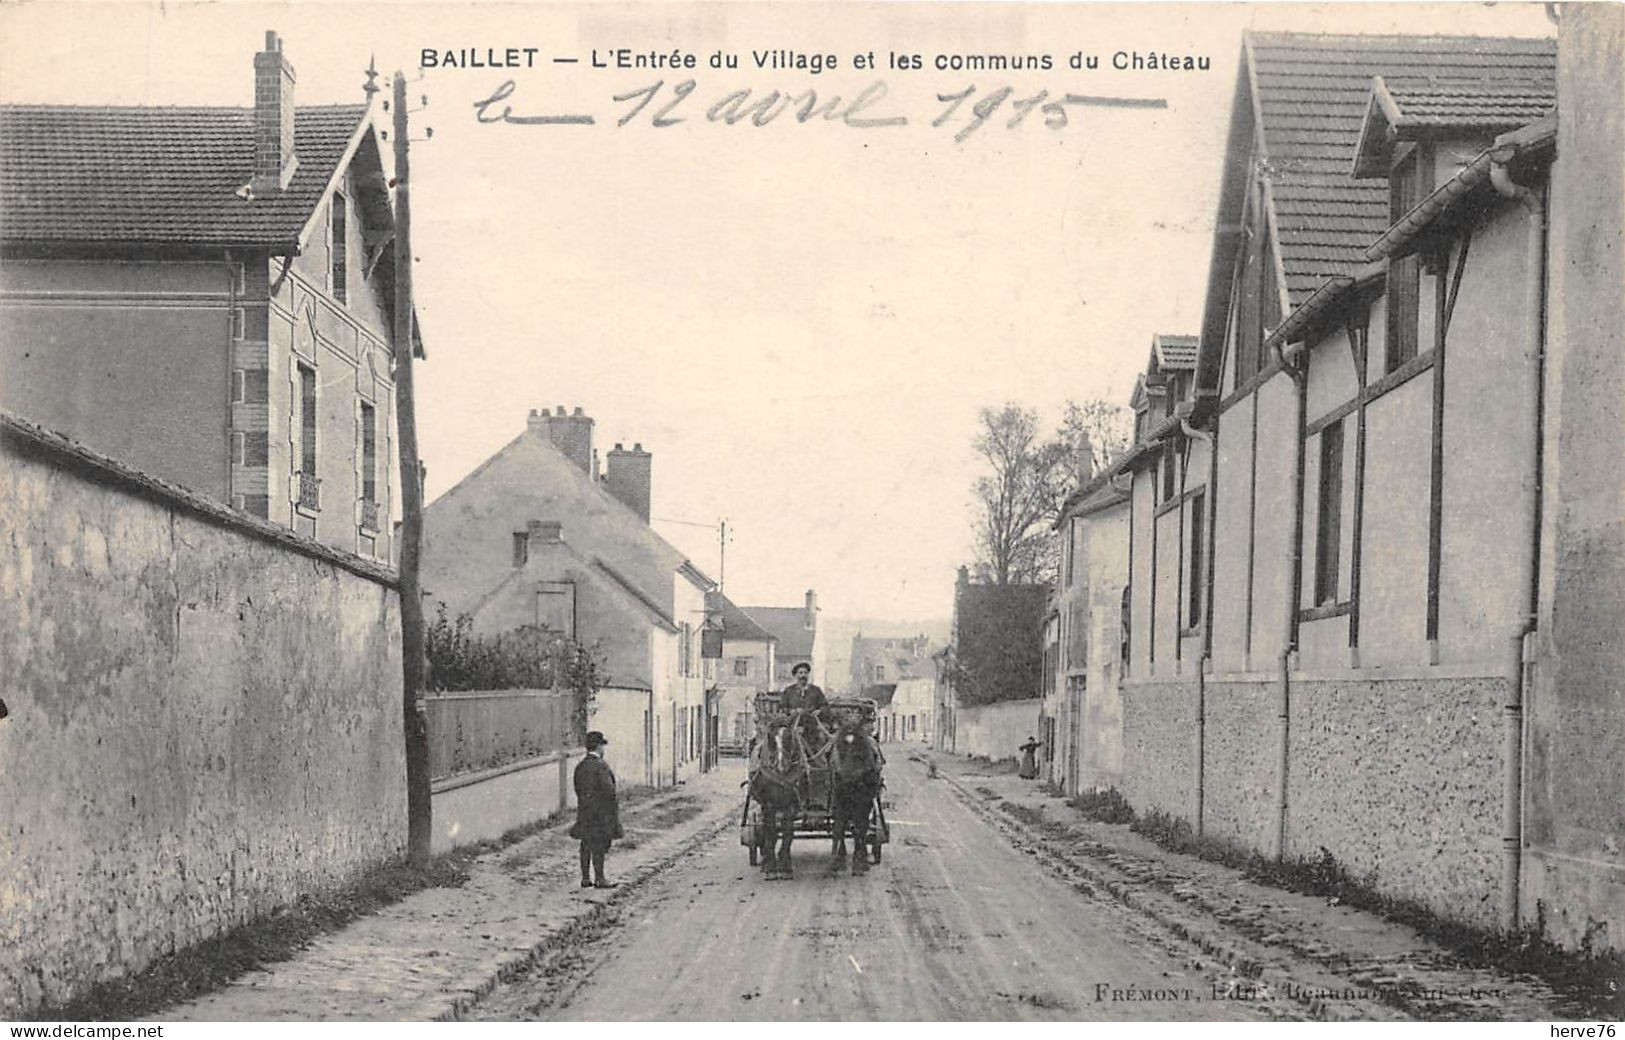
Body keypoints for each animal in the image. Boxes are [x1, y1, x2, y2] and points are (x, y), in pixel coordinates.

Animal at [747, 715, 799, 877]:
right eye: (770, 737)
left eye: (789, 737)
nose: (782, 766)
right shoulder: (768, 804)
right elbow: (771, 832)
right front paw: (770, 866)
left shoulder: (790, 805)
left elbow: (788, 833)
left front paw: (785, 864)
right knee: (766, 830)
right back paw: (765, 860)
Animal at [832, 718, 884, 871]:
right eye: (839, 749)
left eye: (859, 753)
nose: (847, 781)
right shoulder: (839, 798)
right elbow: (840, 826)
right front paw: (838, 860)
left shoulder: (863, 800)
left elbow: (859, 828)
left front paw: (858, 862)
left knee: (863, 826)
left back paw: (864, 856)